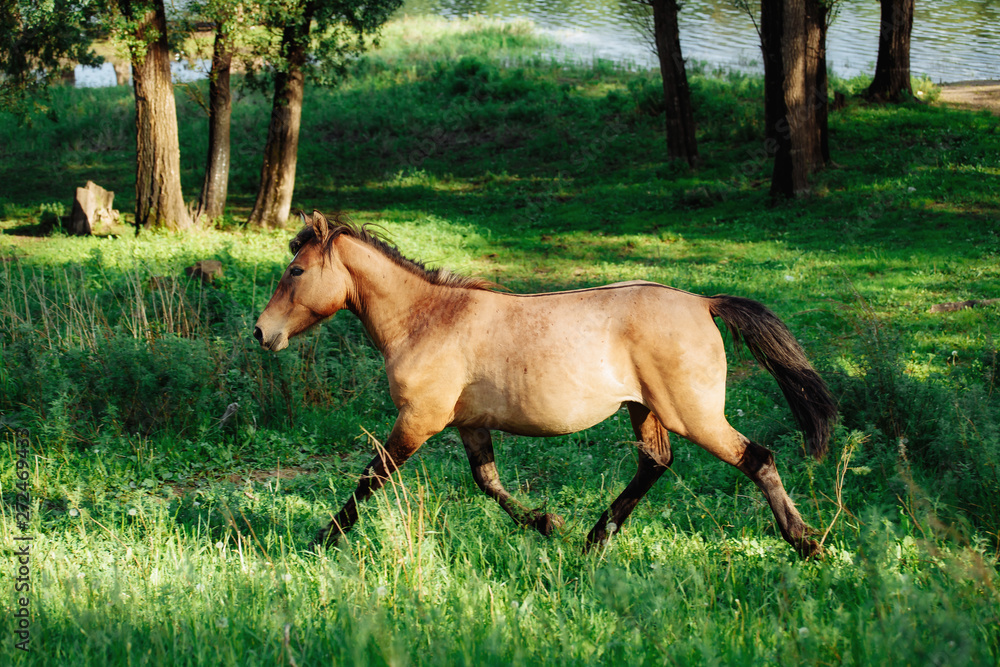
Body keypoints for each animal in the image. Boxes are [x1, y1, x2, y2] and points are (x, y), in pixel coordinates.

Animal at [253, 211, 837, 558]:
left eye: (296, 271)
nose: (262, 332)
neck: (426, 319)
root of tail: (703, 302)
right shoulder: (467, 423)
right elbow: (487, 482)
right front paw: (546, 522)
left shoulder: (418, 421)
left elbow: (370, 478)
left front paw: (321, 538)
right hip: (644, 409)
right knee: (655, 463)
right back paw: (593, 540)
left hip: (693, 414)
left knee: (757, 458)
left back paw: (804, 543)